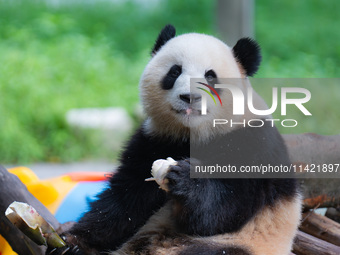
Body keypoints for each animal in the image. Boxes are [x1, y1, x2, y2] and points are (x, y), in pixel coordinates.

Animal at [49, 24, 300, 255]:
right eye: (174, 71)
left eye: (211, 76)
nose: (189, 96)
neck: (193, 133)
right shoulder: (155, 140)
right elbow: (125, 201)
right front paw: (73, 242)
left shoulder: (252, 144)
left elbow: (223, 211)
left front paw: (186, 178)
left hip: (241, 244)